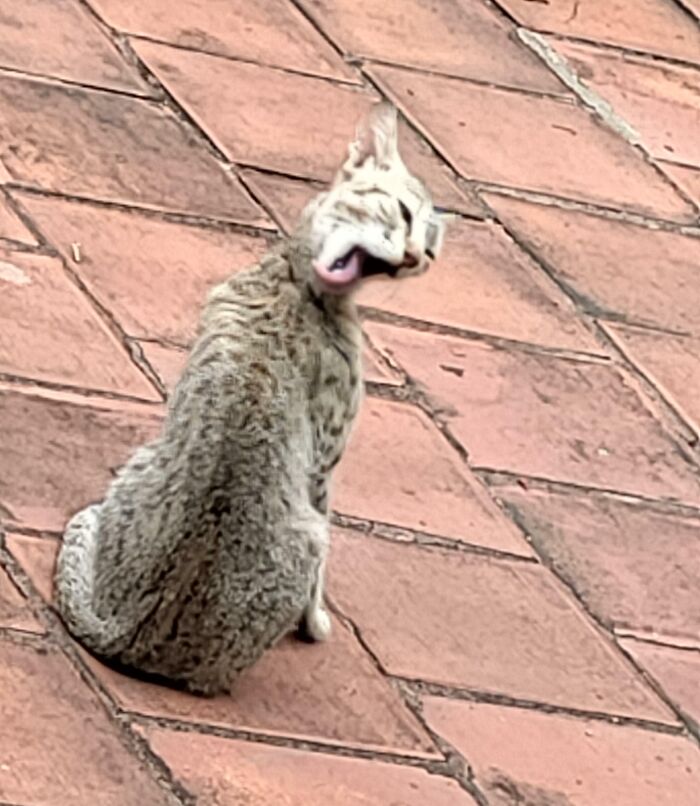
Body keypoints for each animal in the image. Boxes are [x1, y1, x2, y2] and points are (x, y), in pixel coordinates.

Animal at [56, 102, 448, 696]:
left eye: (427, 253)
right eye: (403, 212)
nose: (409, 258)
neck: (293, 282)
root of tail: (129, 638)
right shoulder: (324, 467)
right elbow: (320, 574)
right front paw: (316, 623)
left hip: (143, 460)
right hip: (301, 531)